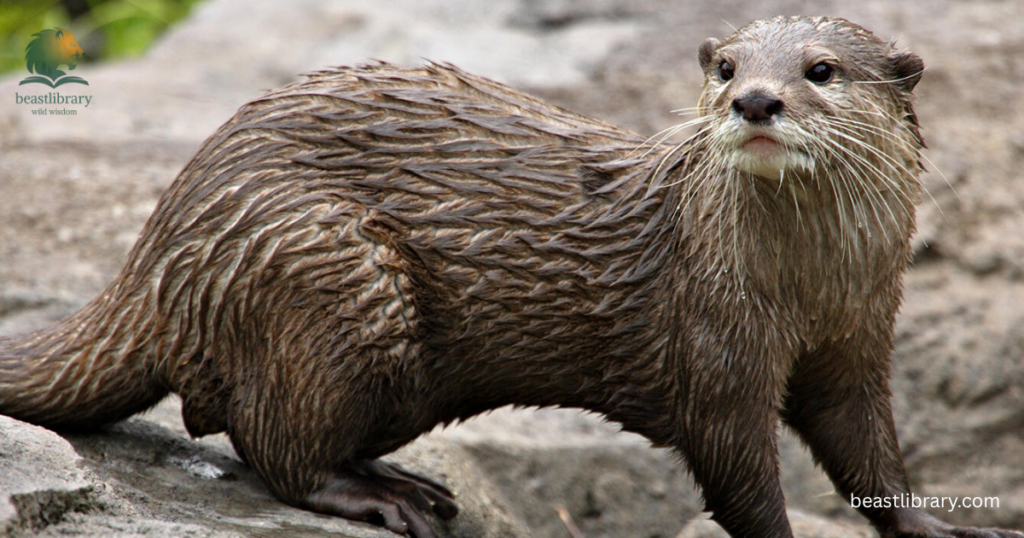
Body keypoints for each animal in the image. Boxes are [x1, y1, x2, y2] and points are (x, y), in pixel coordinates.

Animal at [0, 16, 1019, 538]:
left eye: (822, 69)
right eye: (727, 66)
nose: (756, 100)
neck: (805, 288)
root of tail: (165, 236)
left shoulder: (860, 337)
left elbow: (869, 453)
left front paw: (941, 529)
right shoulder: (714, 341)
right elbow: (738, 470)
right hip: (329, 270)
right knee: (270, 442)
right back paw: (385, 498)